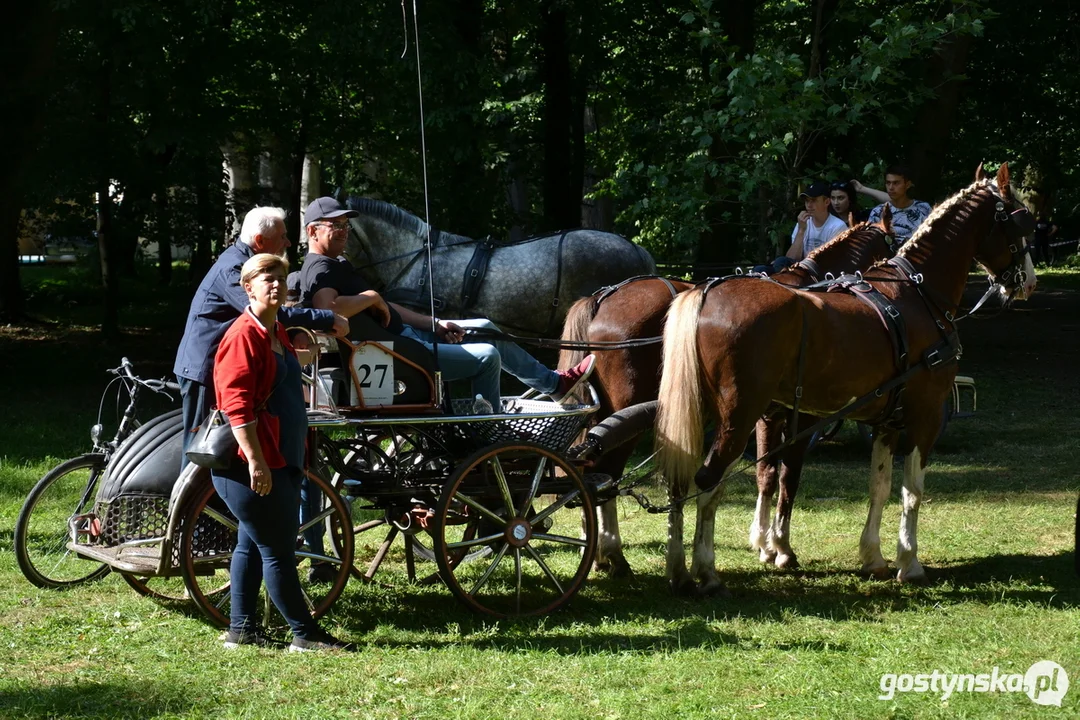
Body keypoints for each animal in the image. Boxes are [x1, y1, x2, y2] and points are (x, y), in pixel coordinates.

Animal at [561, 211, 898, 582]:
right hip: (628, 408)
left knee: (589, 466)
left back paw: (597, 551)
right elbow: (787, 475)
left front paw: (764, 544)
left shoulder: (767, 414)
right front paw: (781, 549)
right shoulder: (800, 415)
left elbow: (765, 473)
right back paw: (614, 555)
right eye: (892, 242)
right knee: (606, 470)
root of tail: (602, 298)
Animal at [656, 165, 1036, 595]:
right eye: (1022, 219)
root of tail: (706, 292)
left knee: (678, 479)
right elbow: (911, 489)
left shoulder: (887, 420)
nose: (1028, 280)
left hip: (699, 412)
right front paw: (909, 561)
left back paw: (677, 568)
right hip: (738, 416)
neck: (919, 295)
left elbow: (878, 485)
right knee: (708, 481)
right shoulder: (924, 414)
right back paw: (705, 569)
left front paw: (872, 556)